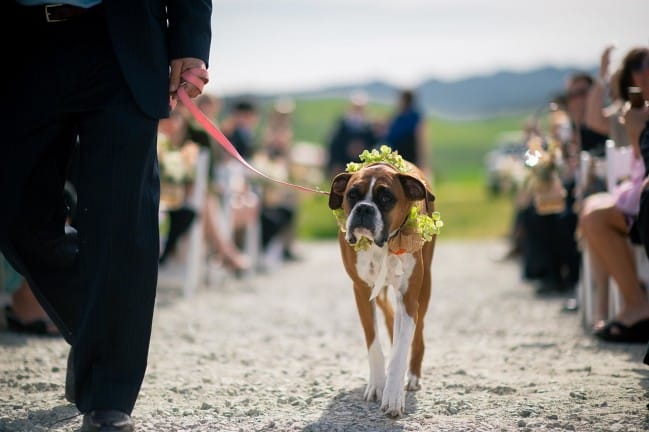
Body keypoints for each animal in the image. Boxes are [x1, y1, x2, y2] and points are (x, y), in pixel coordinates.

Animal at [326, 150, 438, 416]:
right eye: (352, 195)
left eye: (386, 198)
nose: (364, 209)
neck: (383, 245)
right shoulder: (361, 291)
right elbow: (374, 342)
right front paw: (378, 385)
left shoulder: (409, 298)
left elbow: (401, 348)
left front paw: (393, 396)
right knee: (389, 318)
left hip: (424, 287)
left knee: (416, 335)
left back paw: (413, 376)